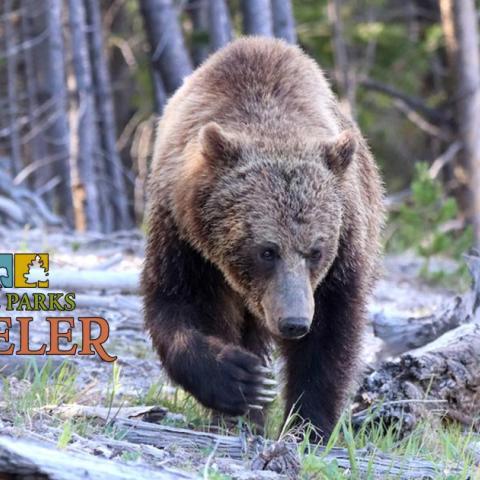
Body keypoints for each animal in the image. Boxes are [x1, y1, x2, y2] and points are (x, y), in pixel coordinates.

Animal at [141, 37, 384, 442]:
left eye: (316, 251)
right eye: (266, 251)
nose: (294, 322)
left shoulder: (345, 243)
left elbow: (331, 333)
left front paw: (308, 424)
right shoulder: (183, 237)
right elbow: (178, 303)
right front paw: (241, 381)